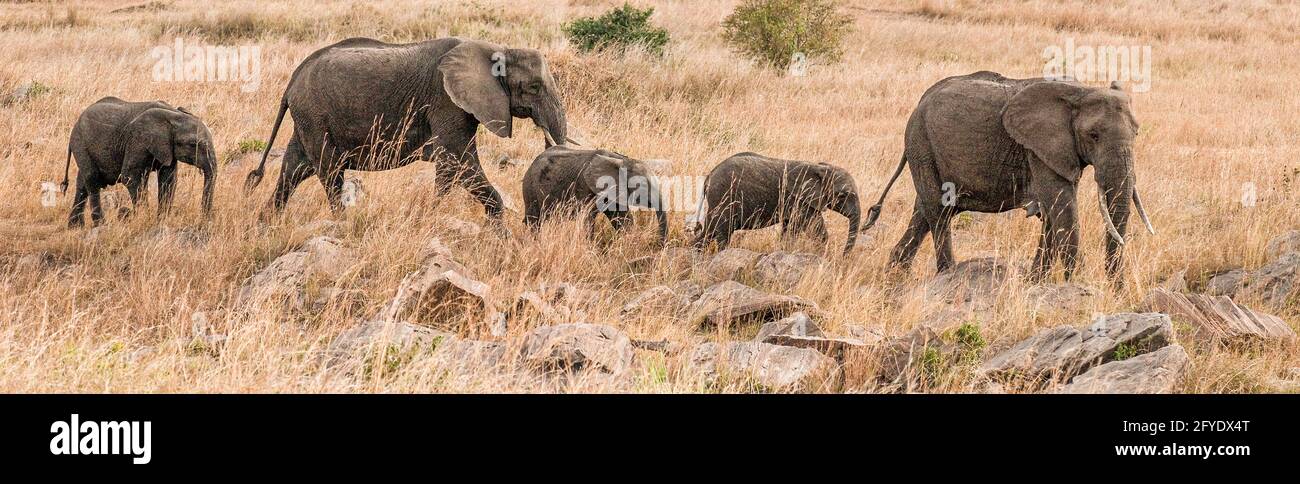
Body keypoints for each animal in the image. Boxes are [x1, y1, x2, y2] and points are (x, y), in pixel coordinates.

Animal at [63, 98, 218, 228]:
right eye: (193, 145)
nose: (205, 220)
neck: (173, 115)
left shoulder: (168, 149)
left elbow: (168, 180)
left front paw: (160, 220)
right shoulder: (137, 140)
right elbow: (129, 176)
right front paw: (144, 218)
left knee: (82, 184)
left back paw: (75, 227)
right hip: (80, 143)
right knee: (92, 179)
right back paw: (100, 224)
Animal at [244, 36, 569, 219]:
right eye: (534, 87)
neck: (496, 48)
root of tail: (292, 80)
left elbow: (452, 164)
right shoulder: (445, 100)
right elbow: (459, 160)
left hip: (308, 119)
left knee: (295, 169)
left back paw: (266, 224)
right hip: (314, 115)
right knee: (328, 171)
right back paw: (341, 224)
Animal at [522, 145, 670, 245]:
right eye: (642, 185)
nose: (660, 245)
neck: (621, 160)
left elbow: (623, 219)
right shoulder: (585, 188)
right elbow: (587, 218)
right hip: (530, 189)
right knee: (534, 221)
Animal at [691, 152, 863, 255]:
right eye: (843, 195)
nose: (843, 258)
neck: (819, 168)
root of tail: (709, 176)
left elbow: (790, 228)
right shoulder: (800, 199)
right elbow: (813, 226)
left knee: (709, 231)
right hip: (723, 197)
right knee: (722, 232)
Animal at [868, 71, 1154, 283]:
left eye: (1137, 133)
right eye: (1093, 135)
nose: (1115, 291)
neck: (1080, 90)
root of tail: (921, 100)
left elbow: (1052, 209)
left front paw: (1037, 281)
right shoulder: (1037, 147)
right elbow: (1061, 204)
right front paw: (1075, 283)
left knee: (924, 214)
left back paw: (895, 275)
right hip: (920, 142)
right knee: (938, 211)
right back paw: (946, 273)